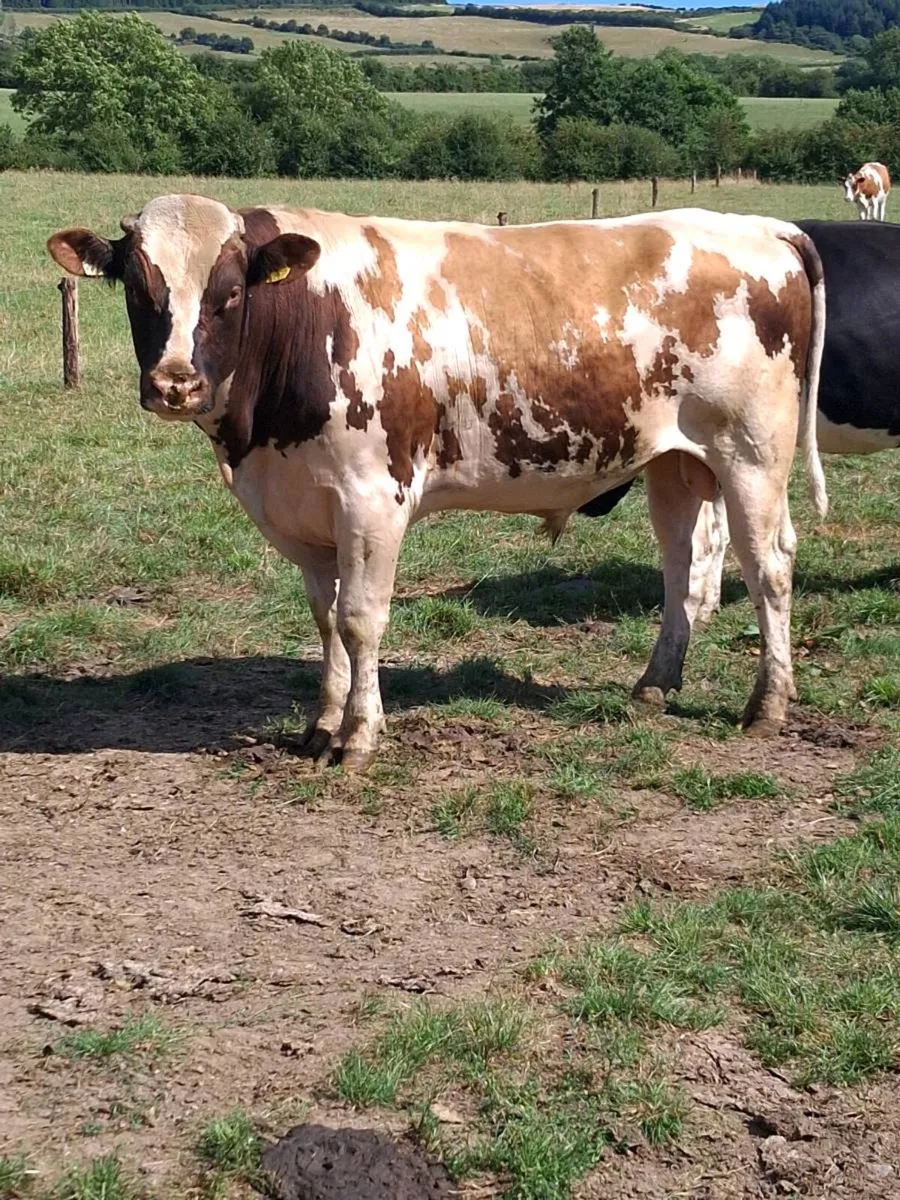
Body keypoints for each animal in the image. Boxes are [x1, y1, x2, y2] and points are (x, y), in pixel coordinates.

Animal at [47, 195, 827, 770]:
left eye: (231, 292)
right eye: (136, 288)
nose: (175, 384)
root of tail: (763, 224)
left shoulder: (373, 499)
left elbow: (361, 620)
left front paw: (359, 736)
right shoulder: (302, 506)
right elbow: (325, 619)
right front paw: (320, 724)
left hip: (752, 454)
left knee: (769, 567)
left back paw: (767, 704)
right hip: (676, 463)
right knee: (682, 573)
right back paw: (654, 686)